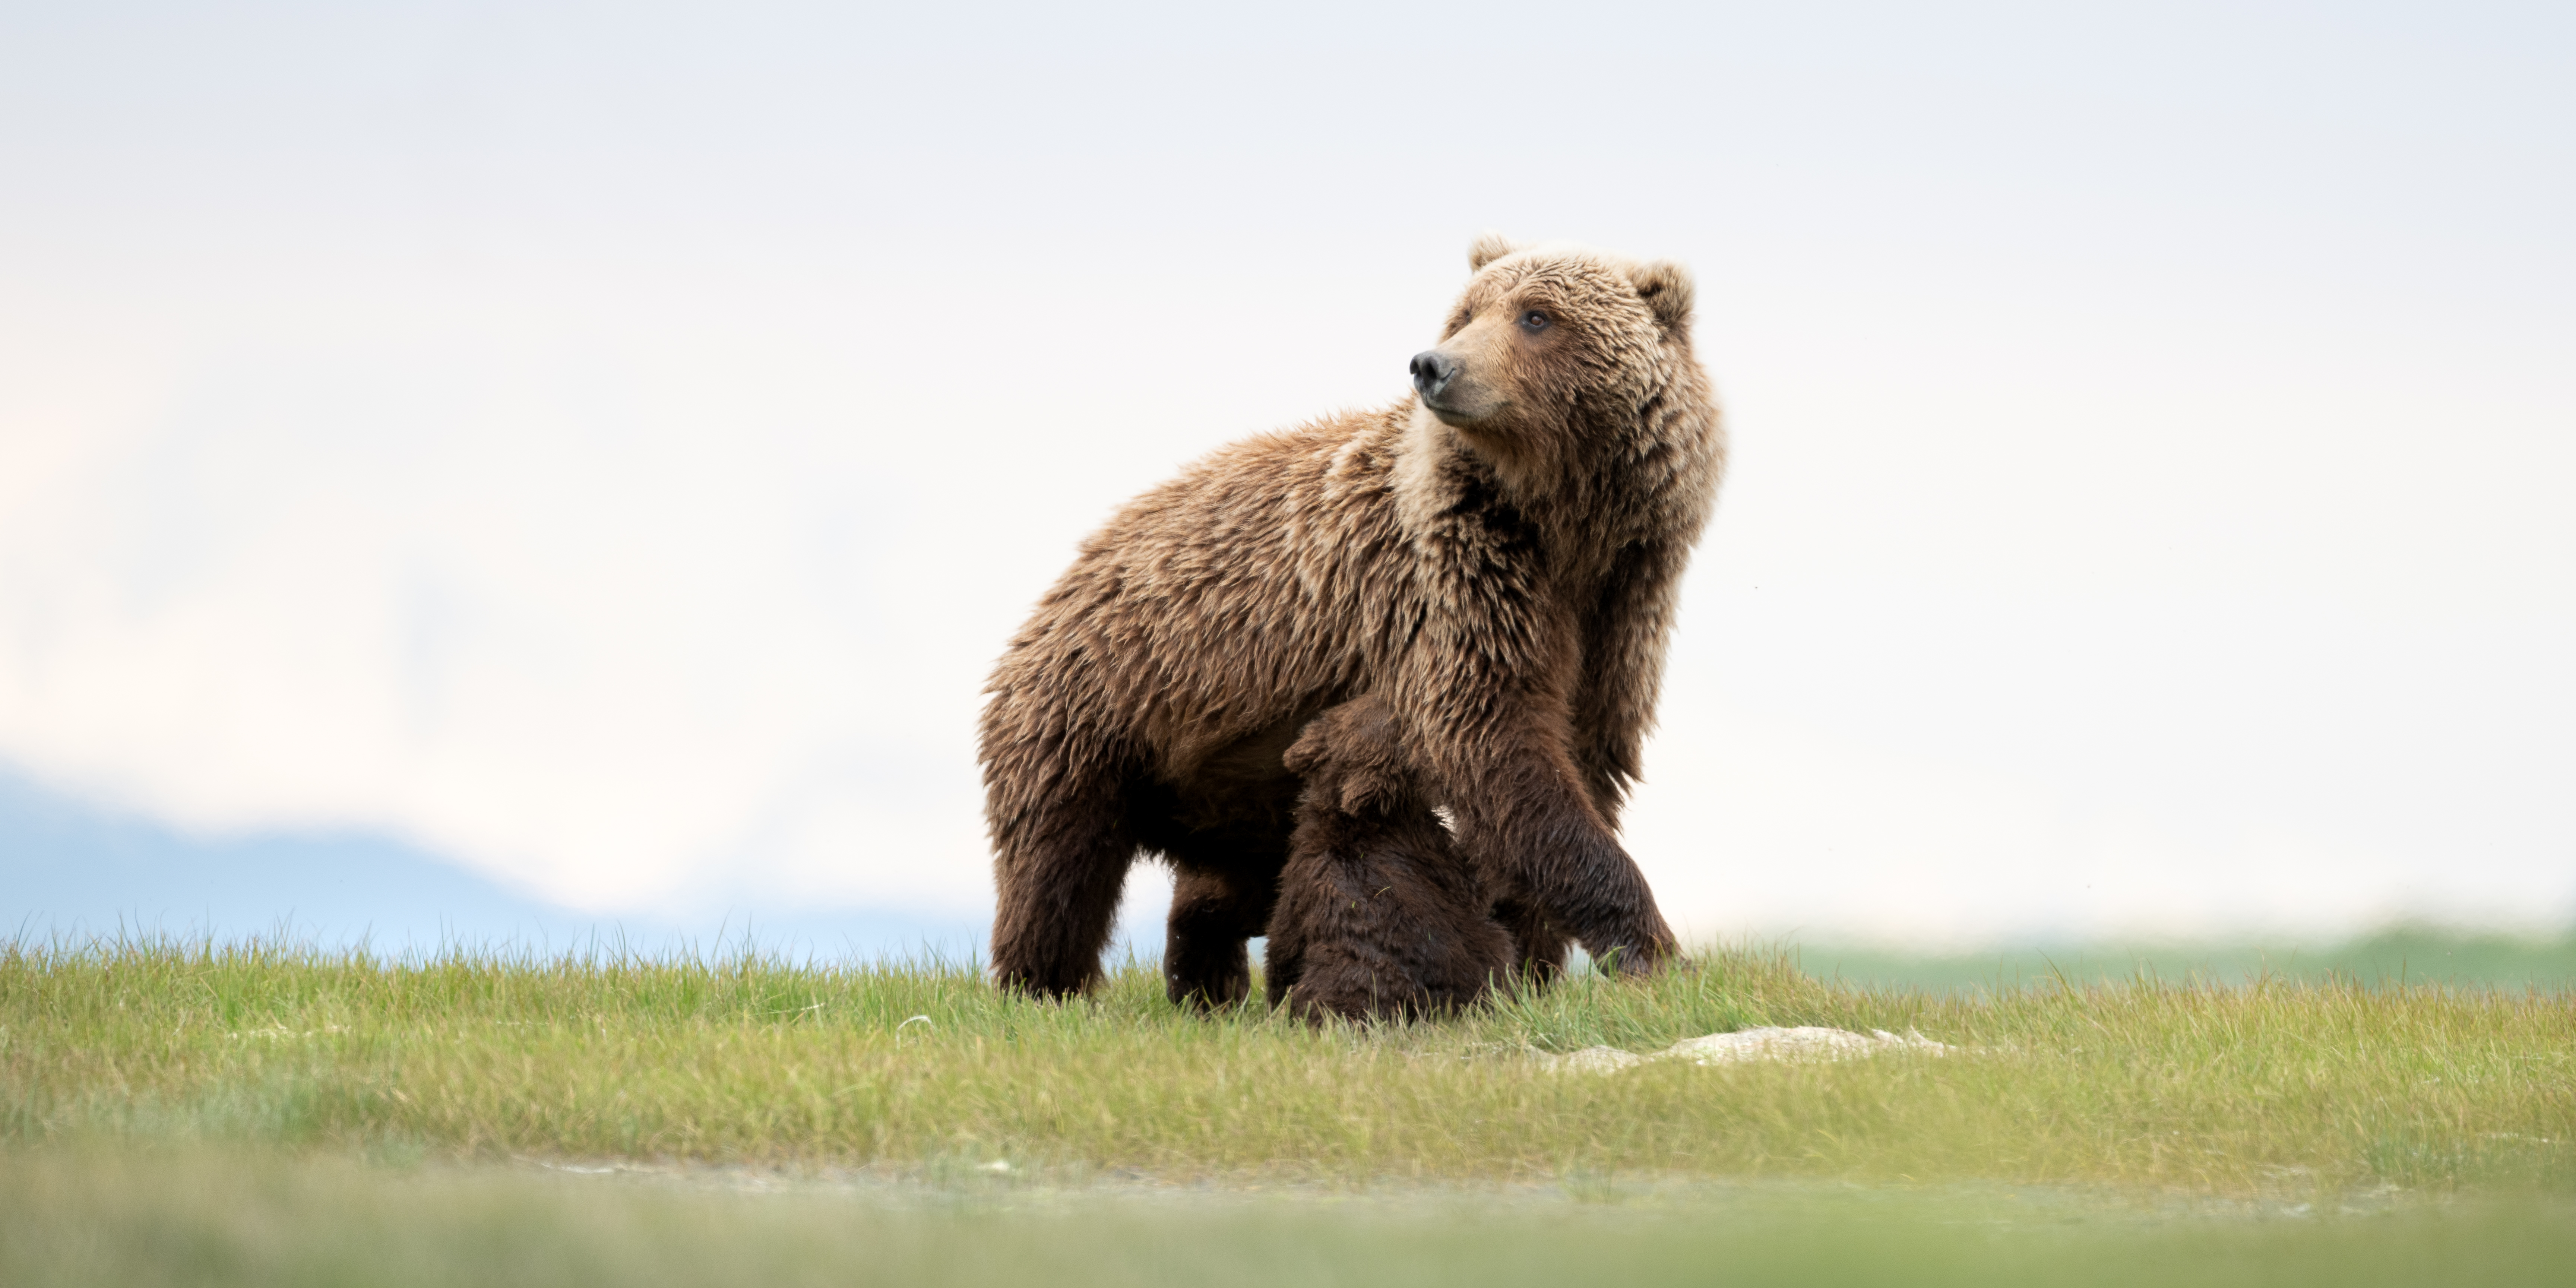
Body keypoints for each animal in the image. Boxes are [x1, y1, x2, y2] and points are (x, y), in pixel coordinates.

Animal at [1264, 692, 1515, 1023]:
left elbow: (1282, 945)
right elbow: (1472, 884)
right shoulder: (1429, 853)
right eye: (1396, 724)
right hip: (1474, 951)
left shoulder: (1298, 880)